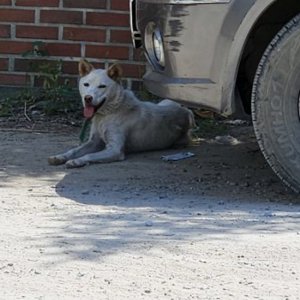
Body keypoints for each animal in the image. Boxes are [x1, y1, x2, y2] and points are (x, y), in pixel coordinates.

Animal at [48, 59, 195, 168]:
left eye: (102, 86)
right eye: (86, 84)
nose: (88, 98)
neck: (108, 114)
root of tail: (187, 111)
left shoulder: (114, 149)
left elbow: (90, 155)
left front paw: (77, 161)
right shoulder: (94, 142)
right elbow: (74, 150)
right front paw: (60, 157)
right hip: (164, 101)